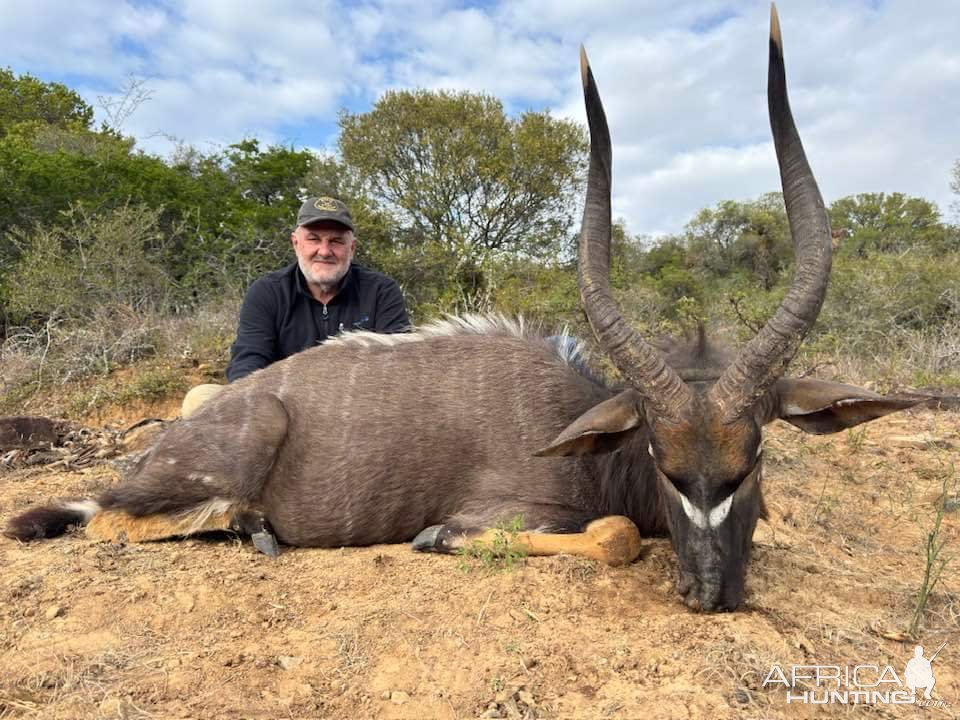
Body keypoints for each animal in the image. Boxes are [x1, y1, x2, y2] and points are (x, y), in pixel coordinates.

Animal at [3, 7, 920, 612]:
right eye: (665, 463)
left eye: (752, 457)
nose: (708, 592)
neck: (586, 433)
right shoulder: (515, 511)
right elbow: (613, 536)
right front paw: (437, 539)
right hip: (222, 454)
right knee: (106, 522)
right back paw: (248, 526)